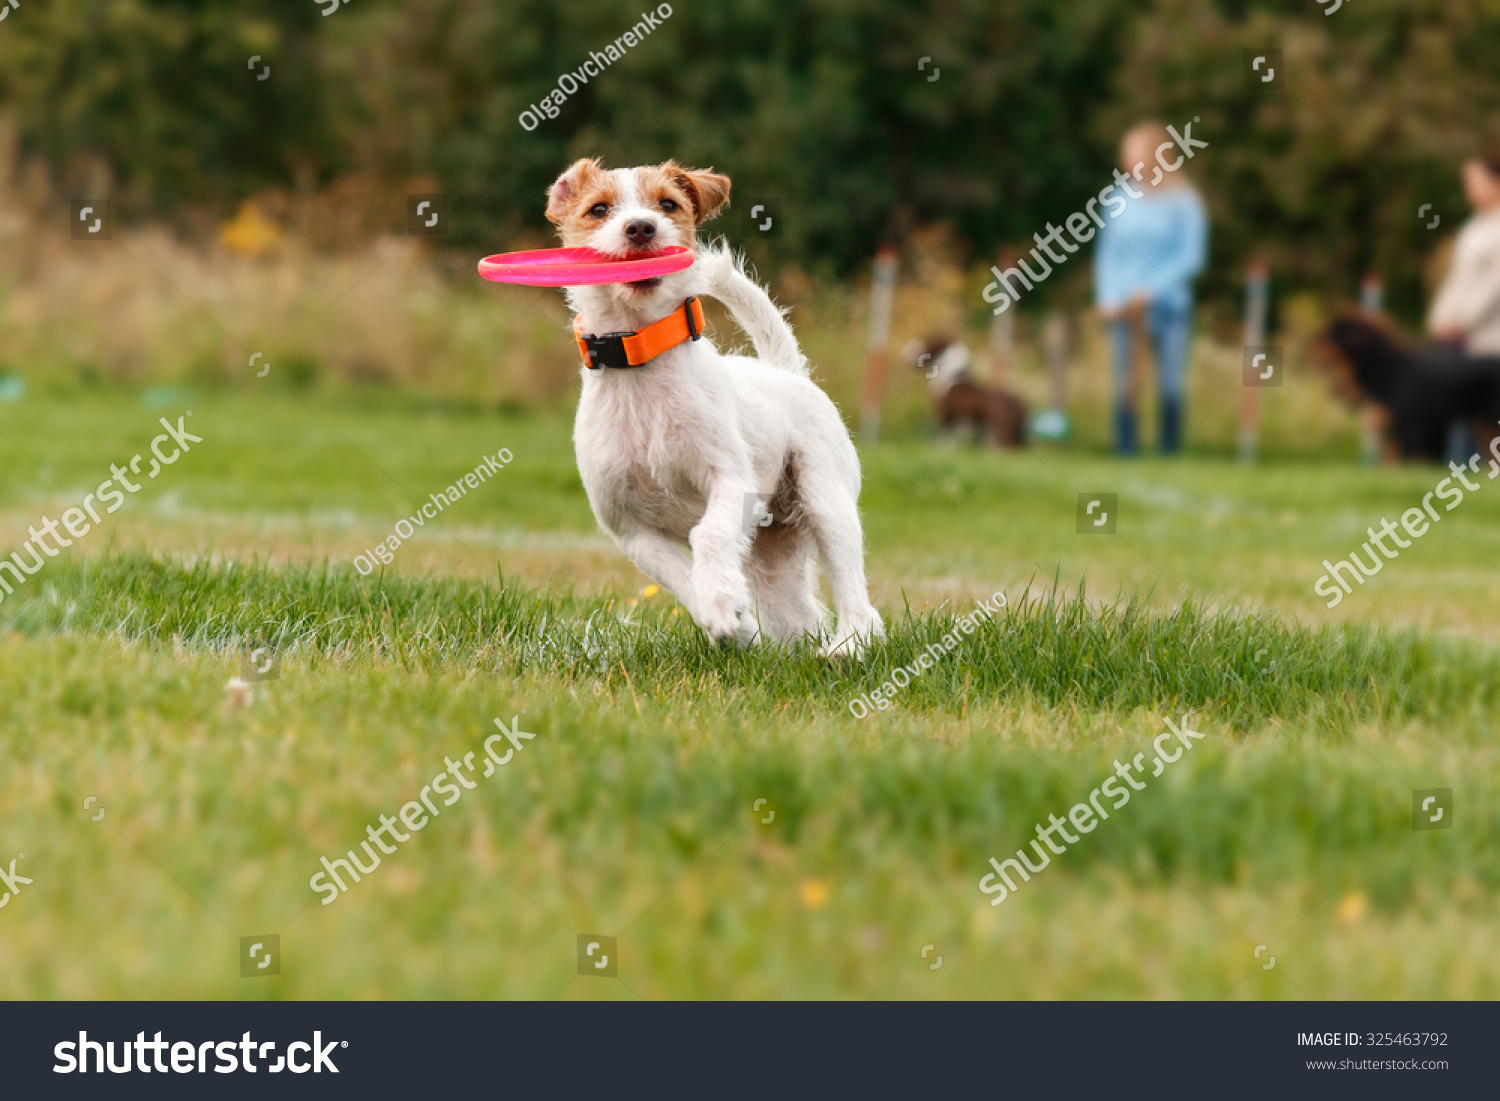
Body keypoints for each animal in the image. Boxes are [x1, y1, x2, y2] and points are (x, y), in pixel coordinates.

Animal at [546, 159, 882, 660]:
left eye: (668, 204)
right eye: (598, 209)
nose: (641, 227)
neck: (640, 358)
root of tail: (786, 371)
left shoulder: (731, 483)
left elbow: (707, 534)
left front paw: (722, 602)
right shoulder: (629, 528)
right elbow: (681, 577)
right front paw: (729, 618)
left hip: (826, 500)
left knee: (853, 590)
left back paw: (847, 647)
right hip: (772, 555)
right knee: (798, 614)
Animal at [1314, 312, 1500, 465]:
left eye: (1331, 334)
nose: (1310, 344)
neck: (1388, 370)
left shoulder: (1407, 429)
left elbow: (1394, 462)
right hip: (1484, 426)